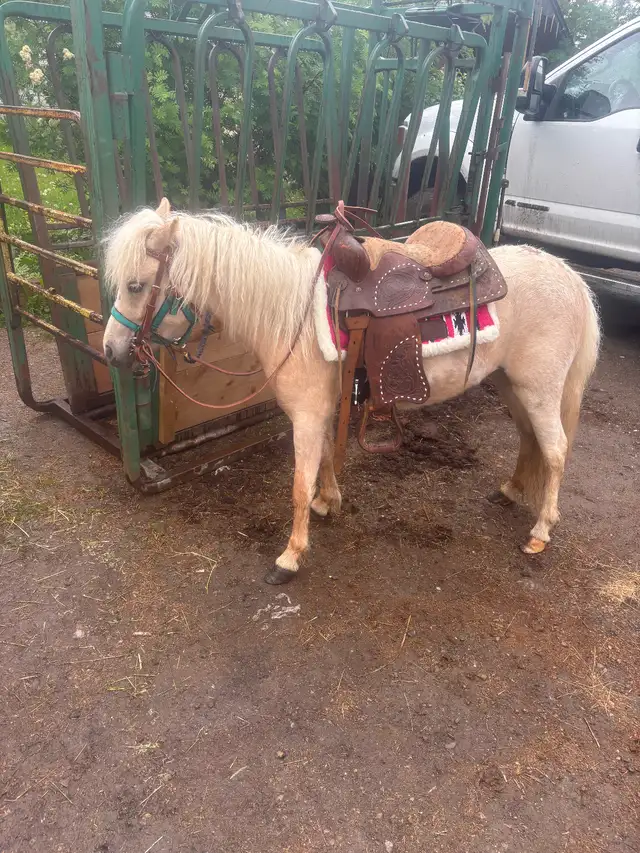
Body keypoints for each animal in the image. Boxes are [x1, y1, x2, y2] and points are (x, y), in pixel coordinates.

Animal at [102, 198, 600, 584]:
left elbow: (298, 484)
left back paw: (540, 531)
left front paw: (291, 556)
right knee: (530, 438)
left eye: (136, 285)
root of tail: (566, 274)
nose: (110, 351)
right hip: (508, 382)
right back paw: (512, 490)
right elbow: (324, 458)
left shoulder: (305, 414)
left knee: (555, 449)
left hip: (539, 387)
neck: (290, 314)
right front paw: (329, 502)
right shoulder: (322, 410)